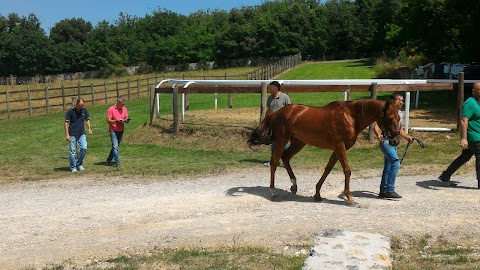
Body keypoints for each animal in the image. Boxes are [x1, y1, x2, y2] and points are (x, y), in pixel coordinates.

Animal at [248, 99, 402, 205]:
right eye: (389, 118)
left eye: (399, 118)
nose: (395, 141)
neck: (351, 117)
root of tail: (275, 113)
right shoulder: (340, 146)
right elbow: (347, 170)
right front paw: (349, 198)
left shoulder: (338, 149)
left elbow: (328, 169)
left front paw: (317, 194)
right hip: (281, 141)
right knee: (274, 163)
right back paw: (273, 192)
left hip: (299, 142)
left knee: (285, 158)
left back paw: (294, 185)